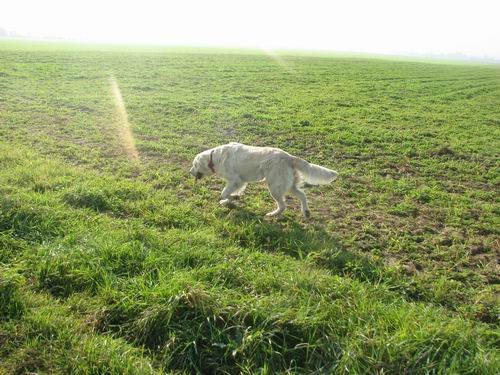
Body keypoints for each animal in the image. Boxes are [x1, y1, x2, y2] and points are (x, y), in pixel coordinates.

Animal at [189, 142, 338, 217]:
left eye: (194, 165)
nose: (189, 172)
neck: (214, 158)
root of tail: (289, 157)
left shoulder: (235, 180)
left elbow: (224, 193)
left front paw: (230, 199)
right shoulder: (240, 182)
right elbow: (229, 193)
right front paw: (229, 201)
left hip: (274, 187)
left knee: (283, 205)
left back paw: (272, 214)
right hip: (289, 186)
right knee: (302, 195)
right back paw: (306, 212)